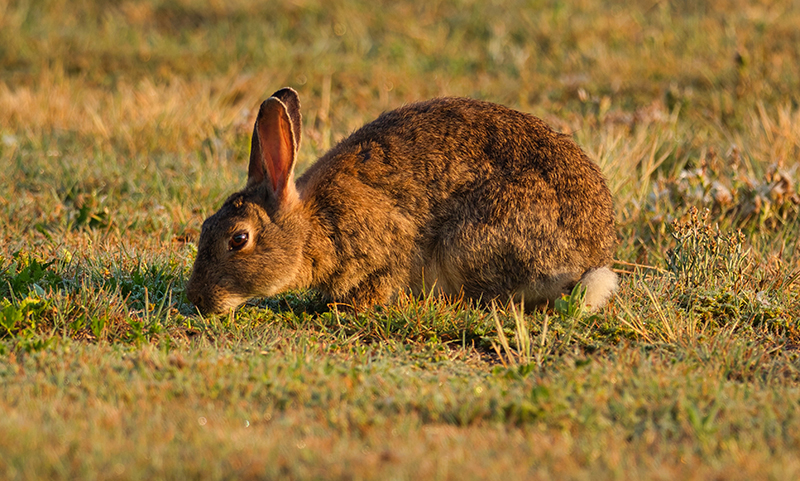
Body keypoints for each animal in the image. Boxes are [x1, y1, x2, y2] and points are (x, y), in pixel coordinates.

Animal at [188, 87, 620, 314]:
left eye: (238, 240)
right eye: (205, 227)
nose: (197, 299)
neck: (313, 226)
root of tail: (590, 259)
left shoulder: (388, 247)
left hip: (470, 241)